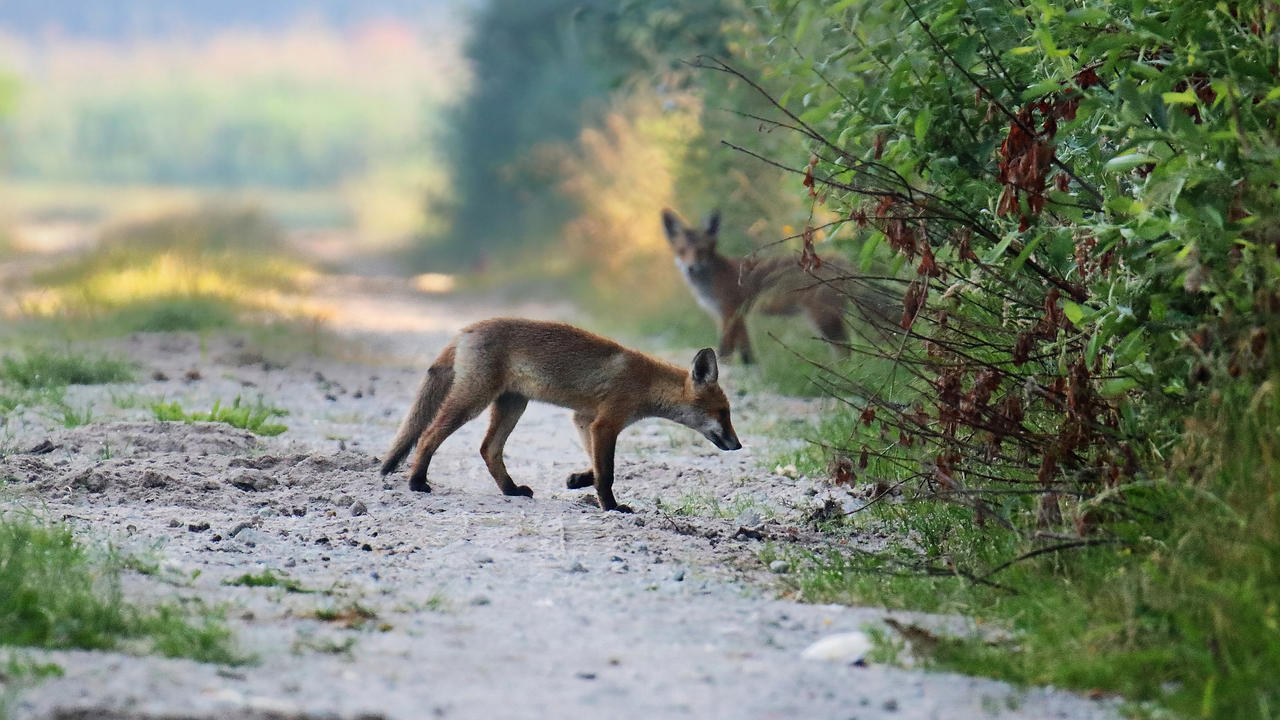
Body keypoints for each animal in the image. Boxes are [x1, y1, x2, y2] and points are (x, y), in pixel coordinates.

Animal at [378, 315, 742, 509]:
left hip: (513, 404)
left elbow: (597, 466)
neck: (646, 381)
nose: (738, 445)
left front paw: (578, 480)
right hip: (474, 400)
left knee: (488, 449)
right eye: (723, 412)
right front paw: (612, 507)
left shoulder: (584, 420)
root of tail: (467, 329)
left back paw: (511, 490)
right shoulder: (606, 423)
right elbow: (608, 473)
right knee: (428, 434)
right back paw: (416, 482)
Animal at [660, 207, 860, 363]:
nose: (691, 267)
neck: (710, 279)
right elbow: (747, 353)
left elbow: (725, 351)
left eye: (701, 250)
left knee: (844, 348)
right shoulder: (730, 315)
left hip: (823, 317)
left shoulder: (730, 312)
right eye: (681, 251)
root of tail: (842, 261)